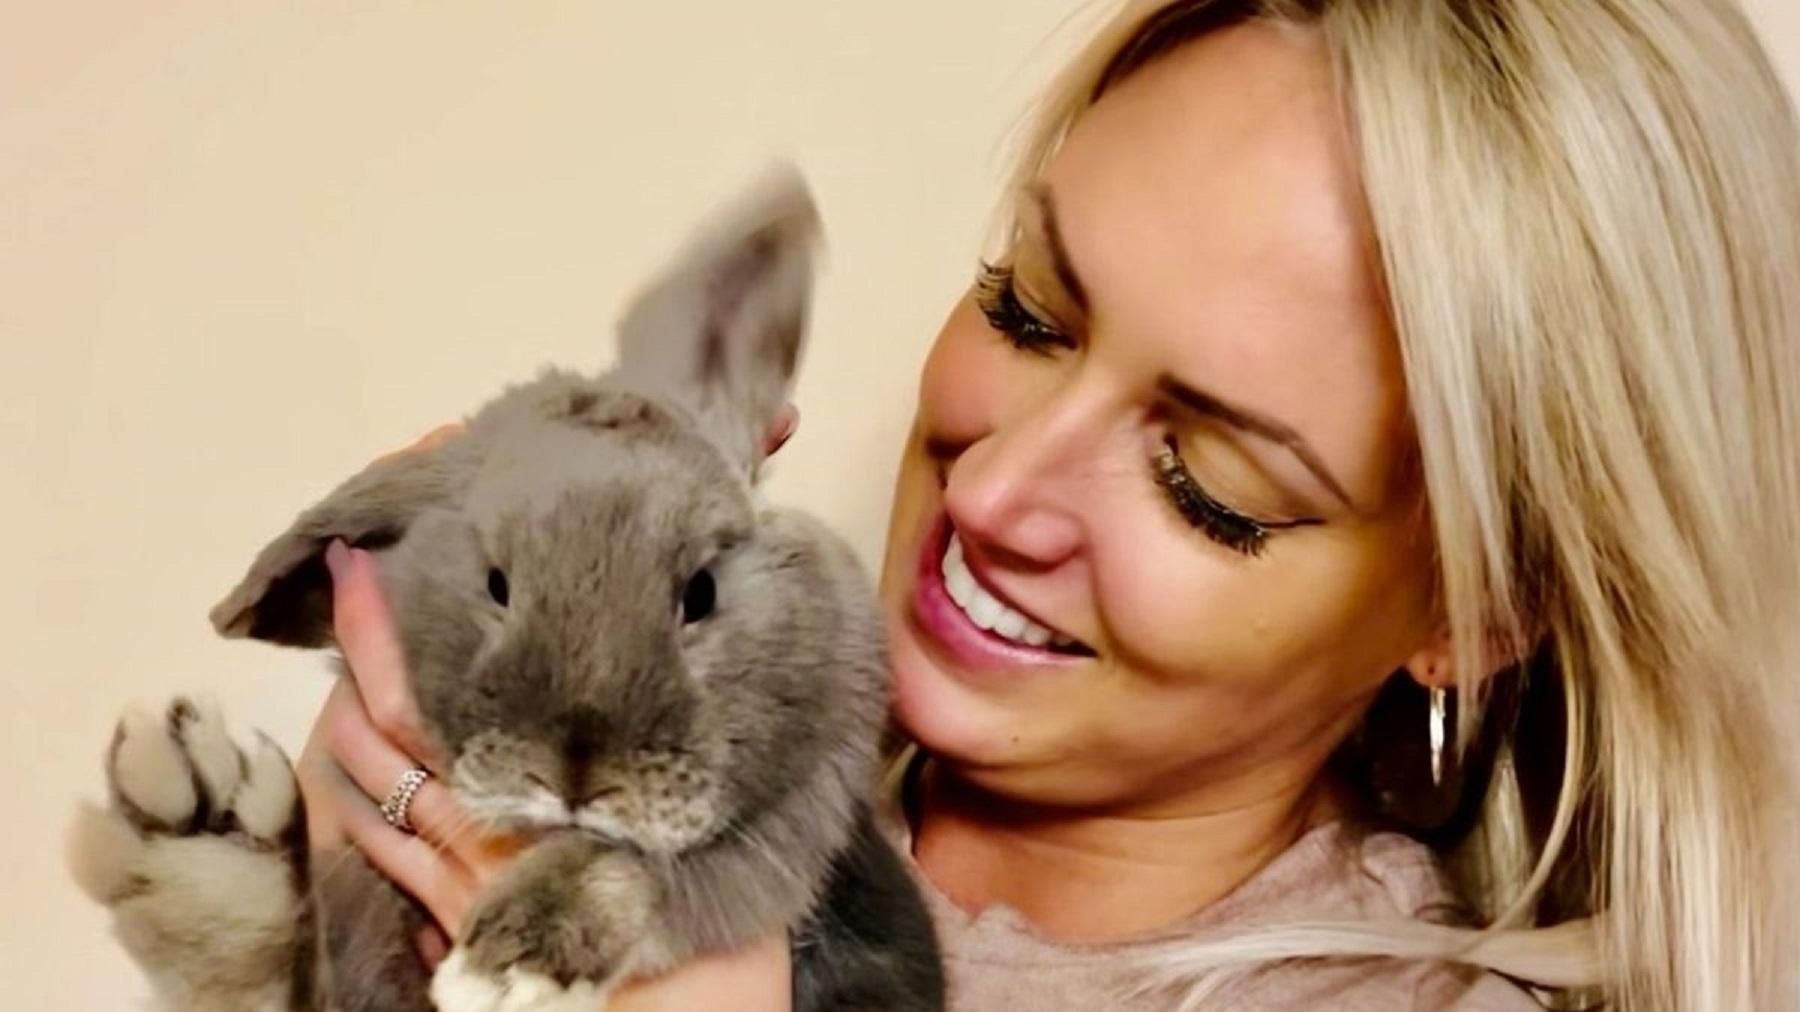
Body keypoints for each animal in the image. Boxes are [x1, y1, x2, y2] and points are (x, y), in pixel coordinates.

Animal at [67, 165, 945, 1012]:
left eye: (699, 593)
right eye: (497, 584)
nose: (577, 777)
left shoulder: (794, 816)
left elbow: (638, 866)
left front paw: (510, 966)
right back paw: (200, 827)